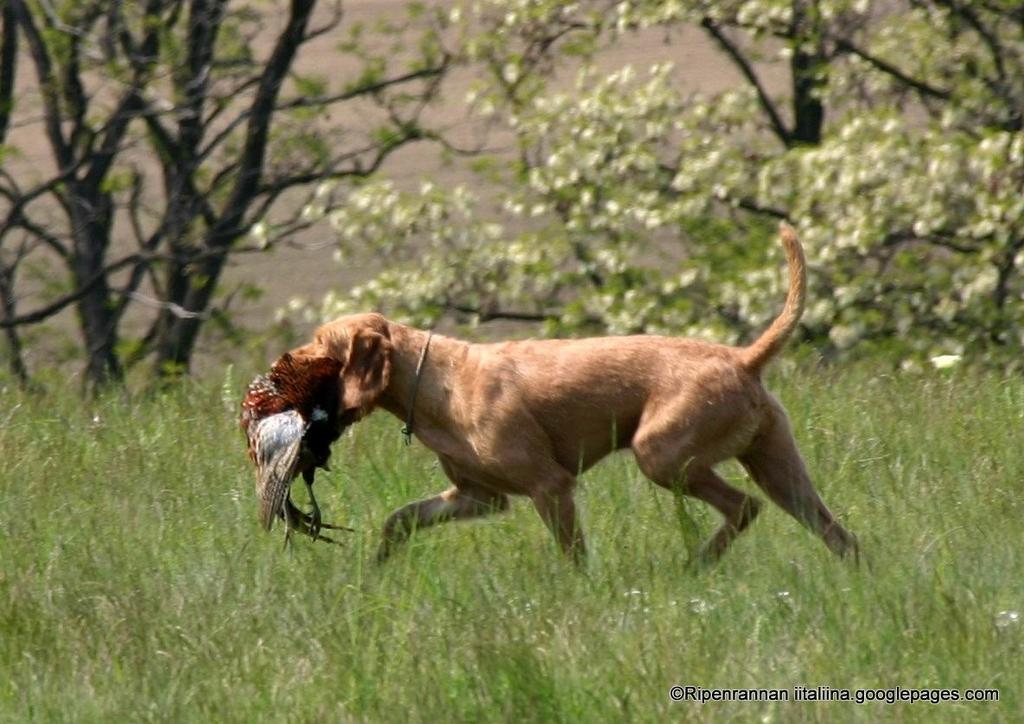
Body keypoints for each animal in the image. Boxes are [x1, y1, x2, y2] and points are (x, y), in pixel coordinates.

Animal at [286, 222, 856, 565]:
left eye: (320, 343)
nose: (281, 364)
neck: (437, 383)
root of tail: (743, 358)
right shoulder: (477, 497)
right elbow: (398, 519)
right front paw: (378, 566)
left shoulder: (551, 487)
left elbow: (574, 558)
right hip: (779, 469)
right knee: (838, 535)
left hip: (662, 455)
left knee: (743, 508)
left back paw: (696, 565)